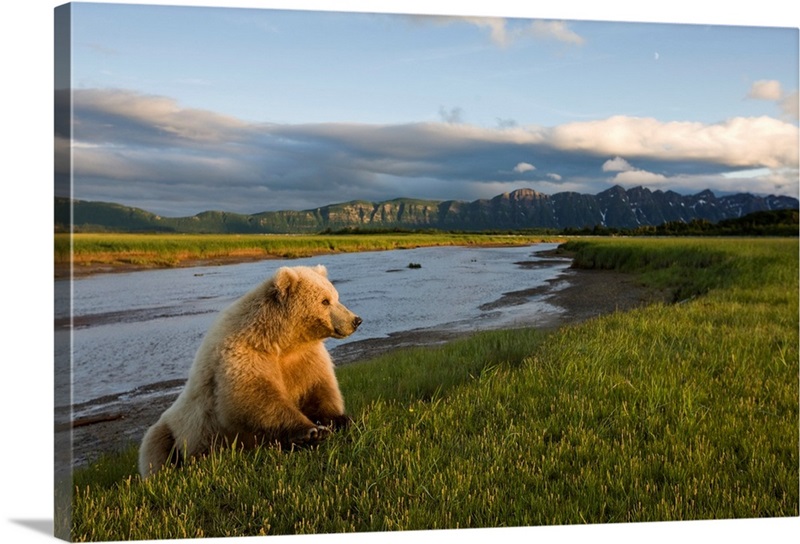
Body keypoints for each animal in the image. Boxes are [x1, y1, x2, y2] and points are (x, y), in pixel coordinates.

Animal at [138, 266, 362, 478]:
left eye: (336, 296)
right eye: (325, 301)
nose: (356, 320)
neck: (280, 342)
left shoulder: (305, 358)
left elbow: (318, 389)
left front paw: (341, 419)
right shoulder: (244, 355)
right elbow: (254, 397)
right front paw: (312, 432)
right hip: (175, 430)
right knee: (157, 451)